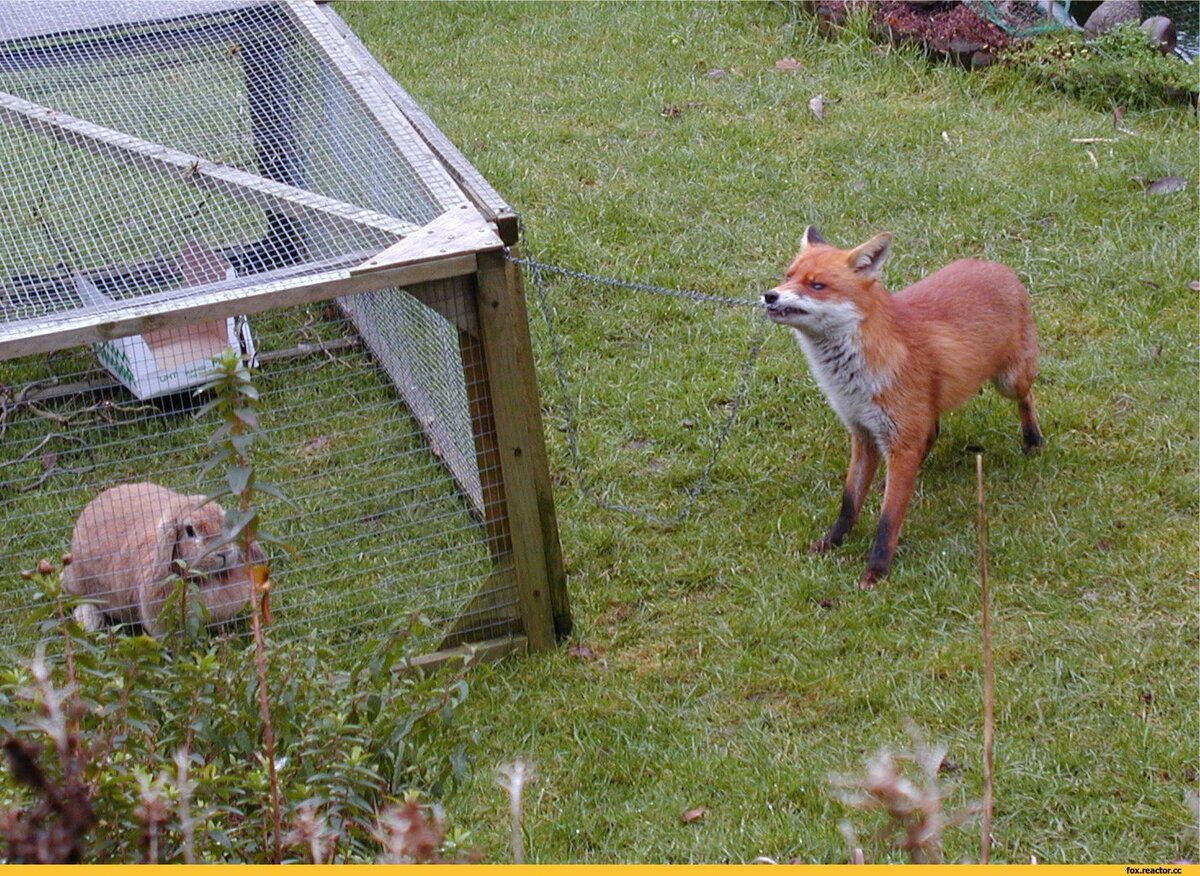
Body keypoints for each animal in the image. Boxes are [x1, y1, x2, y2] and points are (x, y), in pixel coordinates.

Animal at [768, 229, 1041, 590]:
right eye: (788, 276)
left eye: (817, 285)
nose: (769, 296)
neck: (851, 381)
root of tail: (996, 266)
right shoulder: (863, 433)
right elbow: (849, 502)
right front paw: (830, 543)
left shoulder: (899, 438)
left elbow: (888, 518)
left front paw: (876, 571)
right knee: (933, 430)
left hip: (1009, 380)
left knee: (1027, 398)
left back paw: (1033, 439)